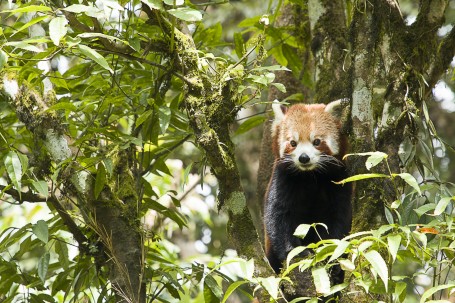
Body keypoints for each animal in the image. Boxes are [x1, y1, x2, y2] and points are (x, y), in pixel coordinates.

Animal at [264, 100, 352, 296]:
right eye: (293, 143)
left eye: (317, 141)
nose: (304, 158)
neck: (310, 176)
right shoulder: (283, 179)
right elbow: (277, 217)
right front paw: (296, 254)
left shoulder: (339, 180)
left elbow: (340, 220)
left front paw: (332, 260)